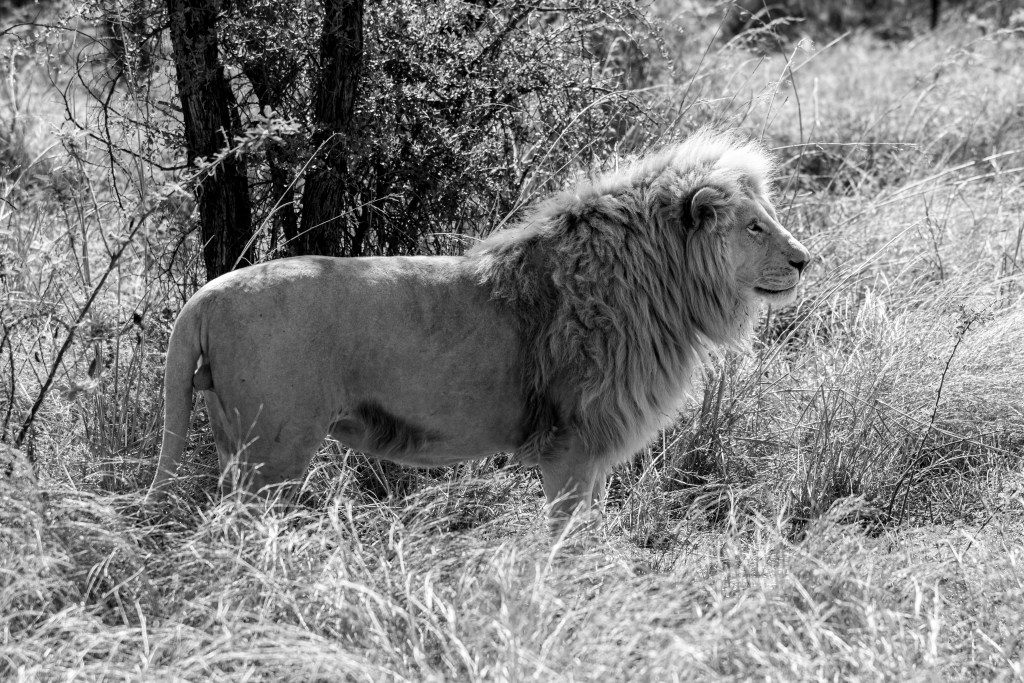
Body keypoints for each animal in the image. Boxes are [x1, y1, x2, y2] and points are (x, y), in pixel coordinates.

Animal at [143, 131, 810, 529]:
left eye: (769, 217)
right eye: (754, 226)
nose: (806, 260)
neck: (662, 283)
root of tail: (208, 293)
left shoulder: (590, 450)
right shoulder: (570, 444)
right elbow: (568, 534)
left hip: (236, 444)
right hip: (275, 450)